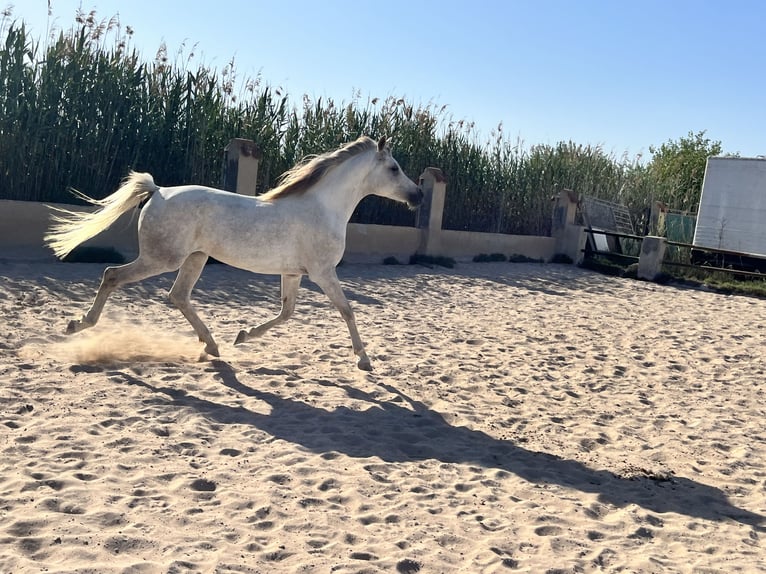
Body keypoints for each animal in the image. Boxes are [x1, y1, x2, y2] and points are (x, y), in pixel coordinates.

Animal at [46, 136, 426, 374]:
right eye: (394, 168)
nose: (419, 195)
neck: (323, 208)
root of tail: (158, 190)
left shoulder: (294, 273)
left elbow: (286, 313)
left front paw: (243, 335)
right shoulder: (322, 272)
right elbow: (346, 310)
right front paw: (364, 360)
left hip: (195, 258)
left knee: (178, 296)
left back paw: (212, 346)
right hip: (162, 258)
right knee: (112, 275)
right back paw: (77, 325)